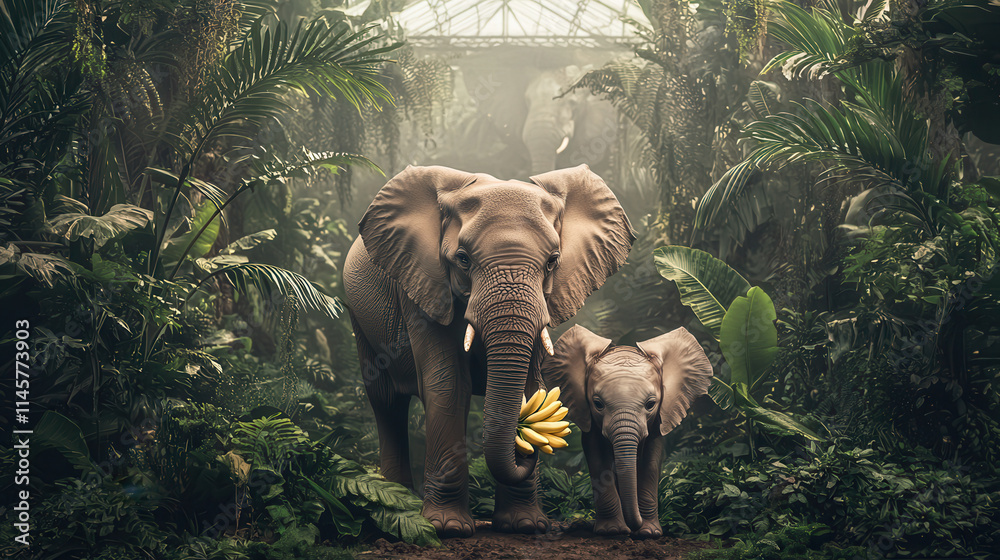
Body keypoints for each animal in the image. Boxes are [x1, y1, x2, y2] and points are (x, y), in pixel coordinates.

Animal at [343, 165, 634, 537]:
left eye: (553, 262)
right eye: (463, 259)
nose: (529, 447)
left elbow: (531, 384)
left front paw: (524, 526)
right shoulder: (423, 287)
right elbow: (448, 384)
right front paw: (448, 528)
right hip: (359, 317)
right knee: (386, 402)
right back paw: (398, 506)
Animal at [541, 325, 713, 537]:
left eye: (650, 404)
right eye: (598, 404)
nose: (634, 527)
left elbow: (651, 461)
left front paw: (648, 533)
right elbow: (597, 456)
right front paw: (612, 531)